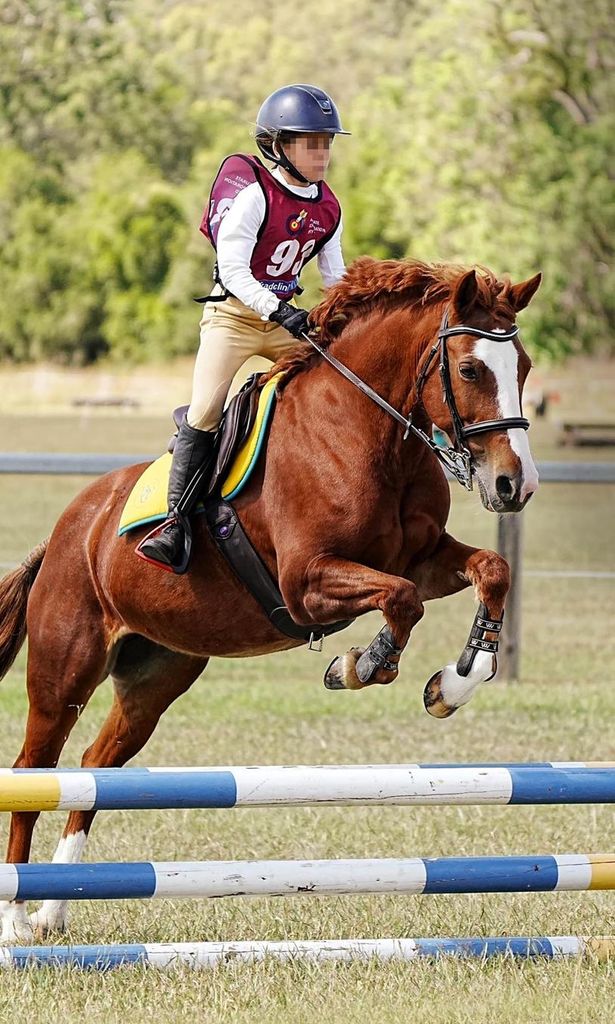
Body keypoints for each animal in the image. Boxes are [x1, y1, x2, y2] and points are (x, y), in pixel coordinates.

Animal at [0, 258, 536, 942]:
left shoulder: (425, 558)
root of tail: (70, 529)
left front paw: (456, 681)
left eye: (523, 366)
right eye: (470, 369)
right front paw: (360, 665)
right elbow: (403, 601)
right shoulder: (307, 584)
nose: (514, 484)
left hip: (155, 675)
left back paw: (56, 906)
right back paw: (16, 919)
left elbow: (491, 571)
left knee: (94, 766)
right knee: (33, 771)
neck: (368, 433)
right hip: (63, 672)